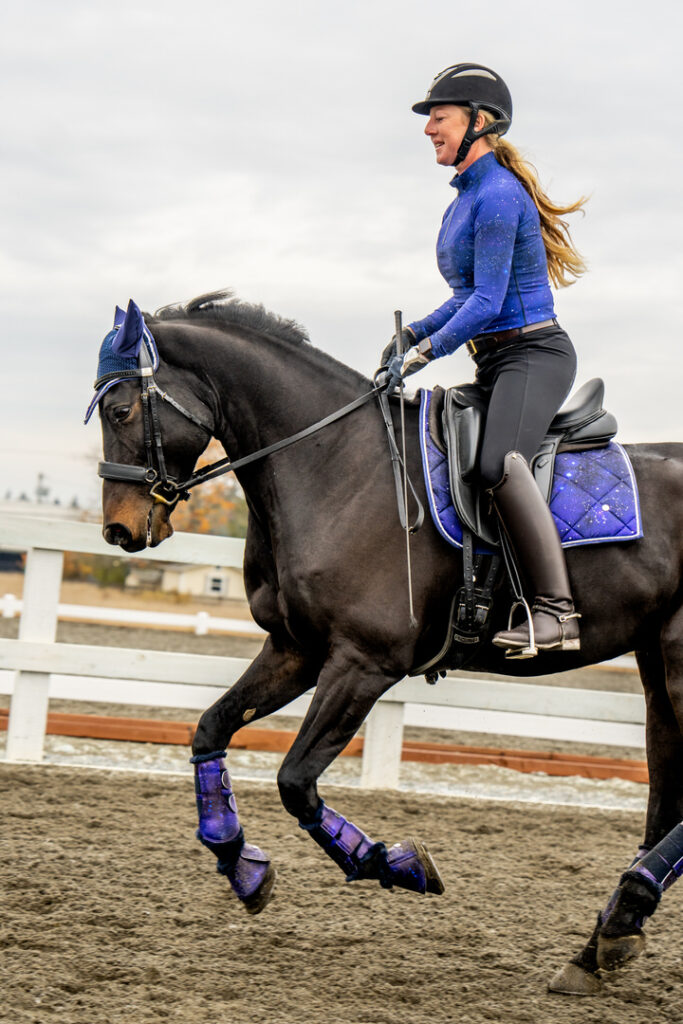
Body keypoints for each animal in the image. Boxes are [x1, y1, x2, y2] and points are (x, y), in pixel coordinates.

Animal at [92, 288, 683, 991]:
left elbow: (295, 780)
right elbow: (210, 729)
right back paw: (605, 939)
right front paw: (242, 865)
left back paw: (620, 918)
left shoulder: (364, 663)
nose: (120, 531)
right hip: (658, 671)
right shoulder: (295, 651)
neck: (334, 465)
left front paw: (394, 863)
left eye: (122, 409)